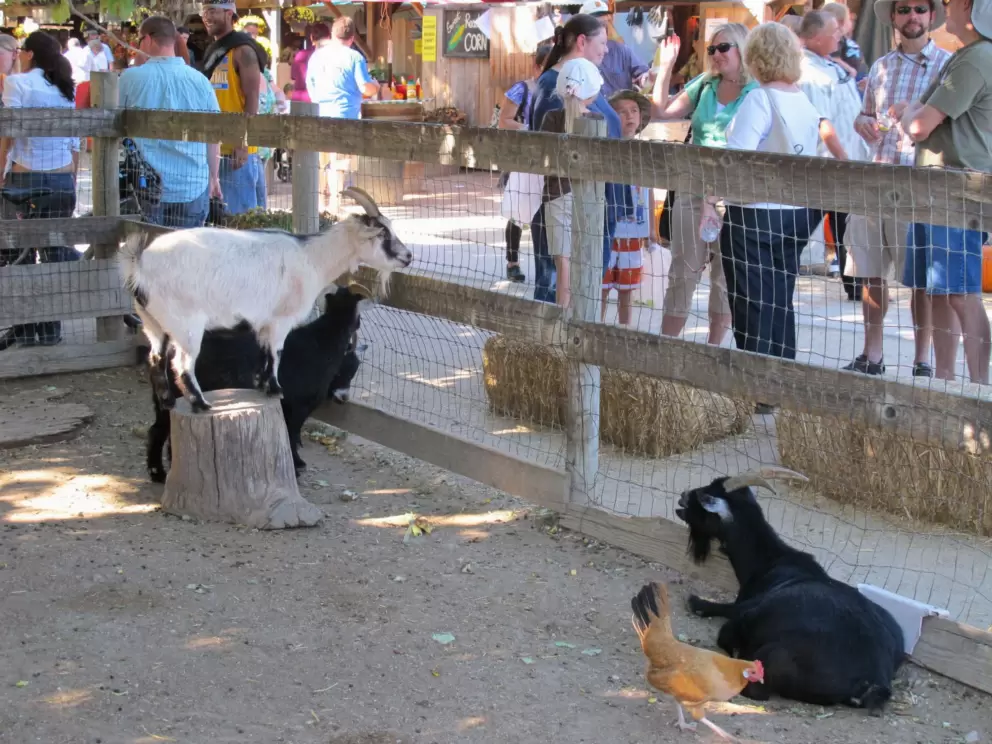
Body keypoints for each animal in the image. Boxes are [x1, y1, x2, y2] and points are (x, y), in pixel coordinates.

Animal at [119, 187, 410, 412]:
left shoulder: (262, 321)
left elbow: (264, 352)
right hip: (186, 324)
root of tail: (140, 265)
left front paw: (261, 385)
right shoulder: (281, 319)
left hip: (153, 322)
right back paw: (201, 404)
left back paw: (168, 402)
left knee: (156, 359)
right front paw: (276, 389)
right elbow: (277, 352)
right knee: (182, 365)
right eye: (383, 234)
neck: (312, 258)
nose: (408, 256)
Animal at [146, 286, 364, 483]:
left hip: (164, 398)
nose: (344, 397)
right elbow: (292, 434)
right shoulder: (298, 406)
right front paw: (296, 466)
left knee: (159, 430)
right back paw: (160, 472)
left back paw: (160, 472)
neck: (322, 344)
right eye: (347, 369)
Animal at [675, 466, 905, 712]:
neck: (771, 560)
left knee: (755, 688)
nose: (683, 495)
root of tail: (874, 681)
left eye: (704, 495)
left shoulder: (746, 610)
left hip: (774, 655)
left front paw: (697, 602)